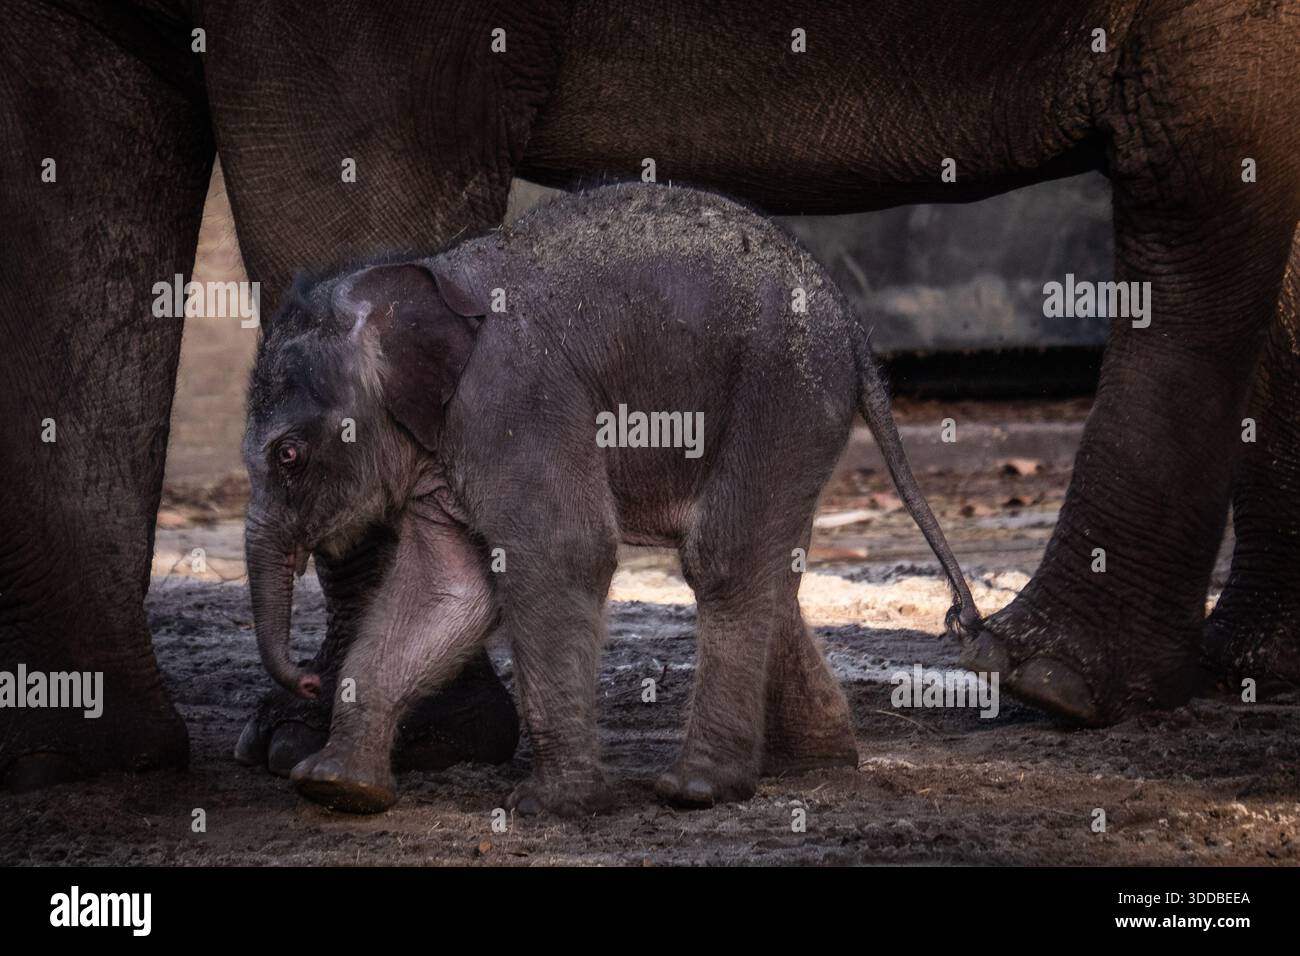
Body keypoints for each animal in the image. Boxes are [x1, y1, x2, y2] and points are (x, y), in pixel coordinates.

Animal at [243, 184, 981, 813]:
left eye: (288, 456)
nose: (306, 679)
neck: (420, 277)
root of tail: (854, 327)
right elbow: (446, 589)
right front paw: (334, 787)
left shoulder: (515, 400)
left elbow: (564, 552)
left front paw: (550, 807)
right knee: (774, 565)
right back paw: (811, 765)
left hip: (781, 391)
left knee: (725, 558)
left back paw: (698, 789)